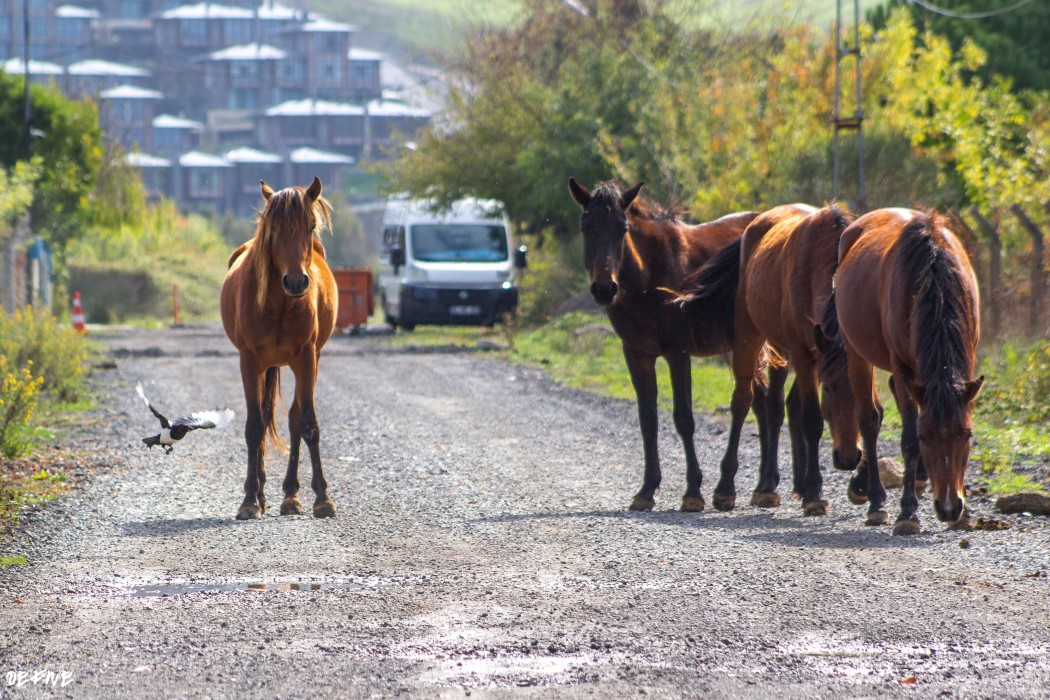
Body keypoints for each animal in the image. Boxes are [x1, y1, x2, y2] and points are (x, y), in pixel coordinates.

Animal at [220, 178, 336, 522]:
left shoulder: (307, 358)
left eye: (311, 225)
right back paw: (260, 494)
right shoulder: (248, 361)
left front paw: (322, 498)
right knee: (261, 416)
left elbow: (307, 424)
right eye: (272, 229)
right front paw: (248, 499)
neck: (279, 304)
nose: (296, 282)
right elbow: (254, 427)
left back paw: (290, 495)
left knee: (294, 418)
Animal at [571, 178, 776, 512]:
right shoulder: (636, 354)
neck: (646, 281)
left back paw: (731, 488)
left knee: (751, 404)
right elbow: (648, 420)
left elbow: (684, 418)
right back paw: (764, 486)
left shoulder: (677, 352)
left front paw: (692, 491)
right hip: (740, 347)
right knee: (760, 402)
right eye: (585, 227)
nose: (604, 288)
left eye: (623, 228)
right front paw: (646, 490)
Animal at [680, 202, 860, 514]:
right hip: (750, 336)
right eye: (829, 389)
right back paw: (729, 488)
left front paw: (810, 487)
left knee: (777, 407)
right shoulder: (804, 355)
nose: (848, 458)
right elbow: (812, 420)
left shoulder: (815, 358)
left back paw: (771, 485)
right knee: (743, 402)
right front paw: (815, 492)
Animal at [818, 207, 982, 537]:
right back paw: (876, 500)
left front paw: (964, 512)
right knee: (869, 419)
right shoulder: (902, 365)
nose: (949, 507)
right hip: (857, 354)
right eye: (924, 436)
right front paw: (907, 511)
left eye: (967, 434)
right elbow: (906, 439)